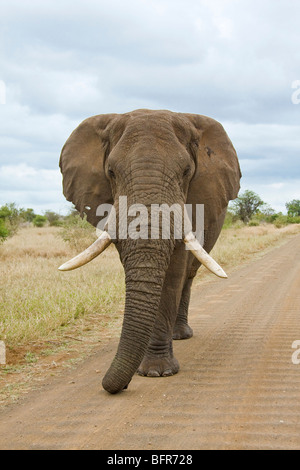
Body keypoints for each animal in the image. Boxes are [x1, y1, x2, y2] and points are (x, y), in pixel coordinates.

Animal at [58, 109, 241, 392]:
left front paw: (157, 372)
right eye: (111, 172)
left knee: (188, 276)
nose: (115, 386)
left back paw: (180, 335)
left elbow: (173, 274)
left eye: (186, 171)